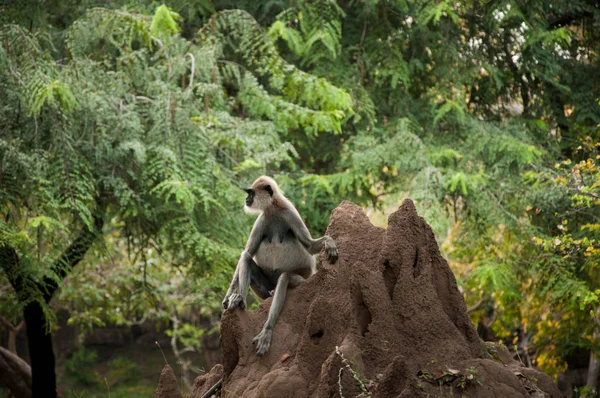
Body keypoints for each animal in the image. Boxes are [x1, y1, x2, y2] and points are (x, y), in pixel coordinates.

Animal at [223, 176, 340, 356]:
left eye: (251, 193)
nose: (246, 199)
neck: (273, 208)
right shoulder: (262, 219)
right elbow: (247, 252)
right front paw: (229, 295)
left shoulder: (290, 213)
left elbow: (310, 246)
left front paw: (329, 241)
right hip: (265, 291)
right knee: (246, 257)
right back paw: (239, 299)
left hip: (301, 282)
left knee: (284, 277)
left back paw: (267, 331)